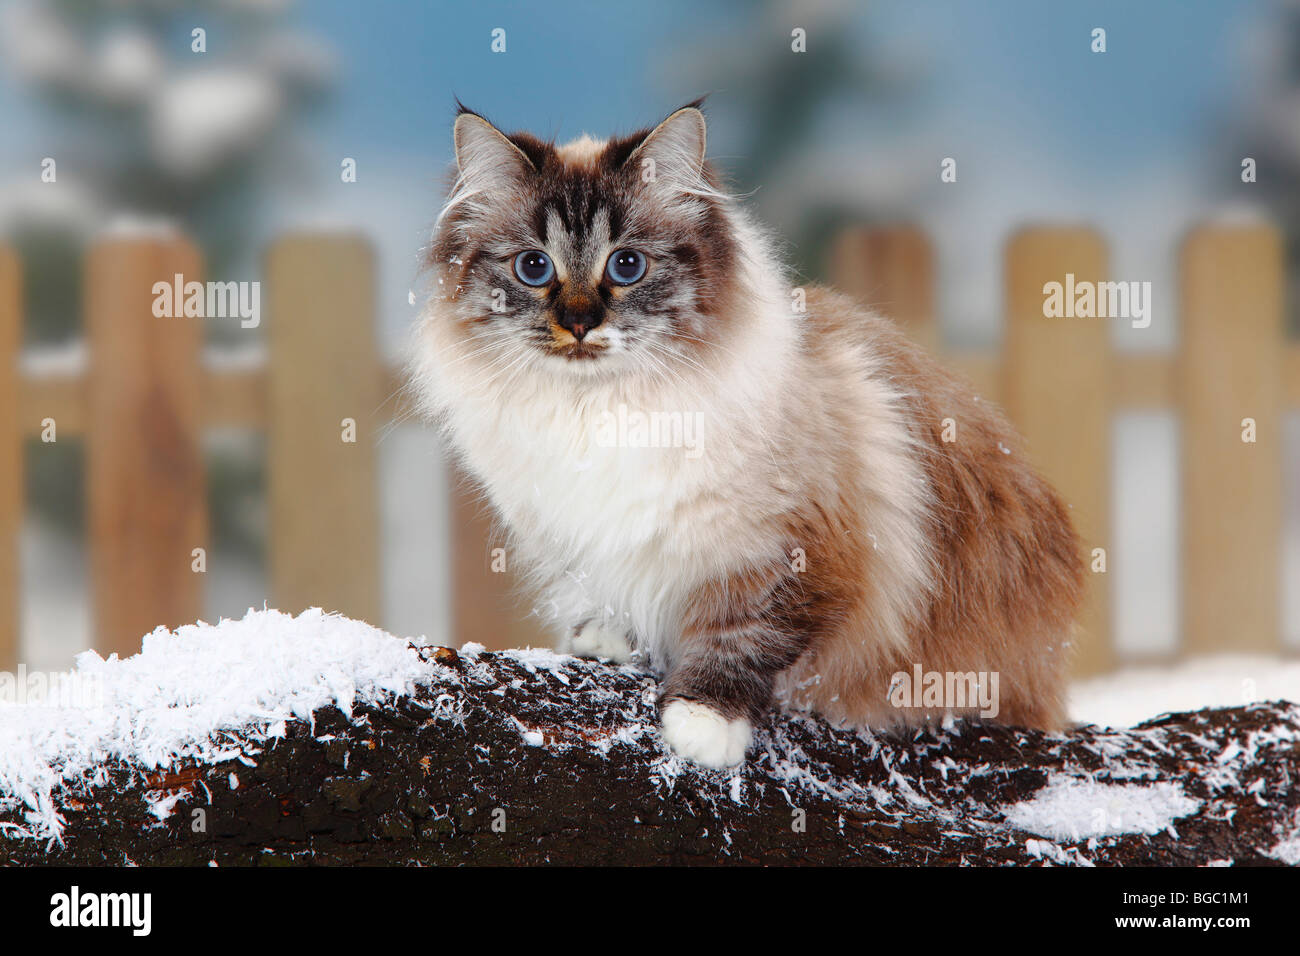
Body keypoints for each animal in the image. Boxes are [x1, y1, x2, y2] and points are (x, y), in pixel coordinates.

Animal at [410, 98, 1081, 770]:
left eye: (626, 266)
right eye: (534, 267)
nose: (578, 324)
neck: (598, 412)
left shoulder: (789, 554)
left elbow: (742, 635)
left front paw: (703, 724)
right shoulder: (573, 538)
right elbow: (607, 598)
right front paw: (607, 640)